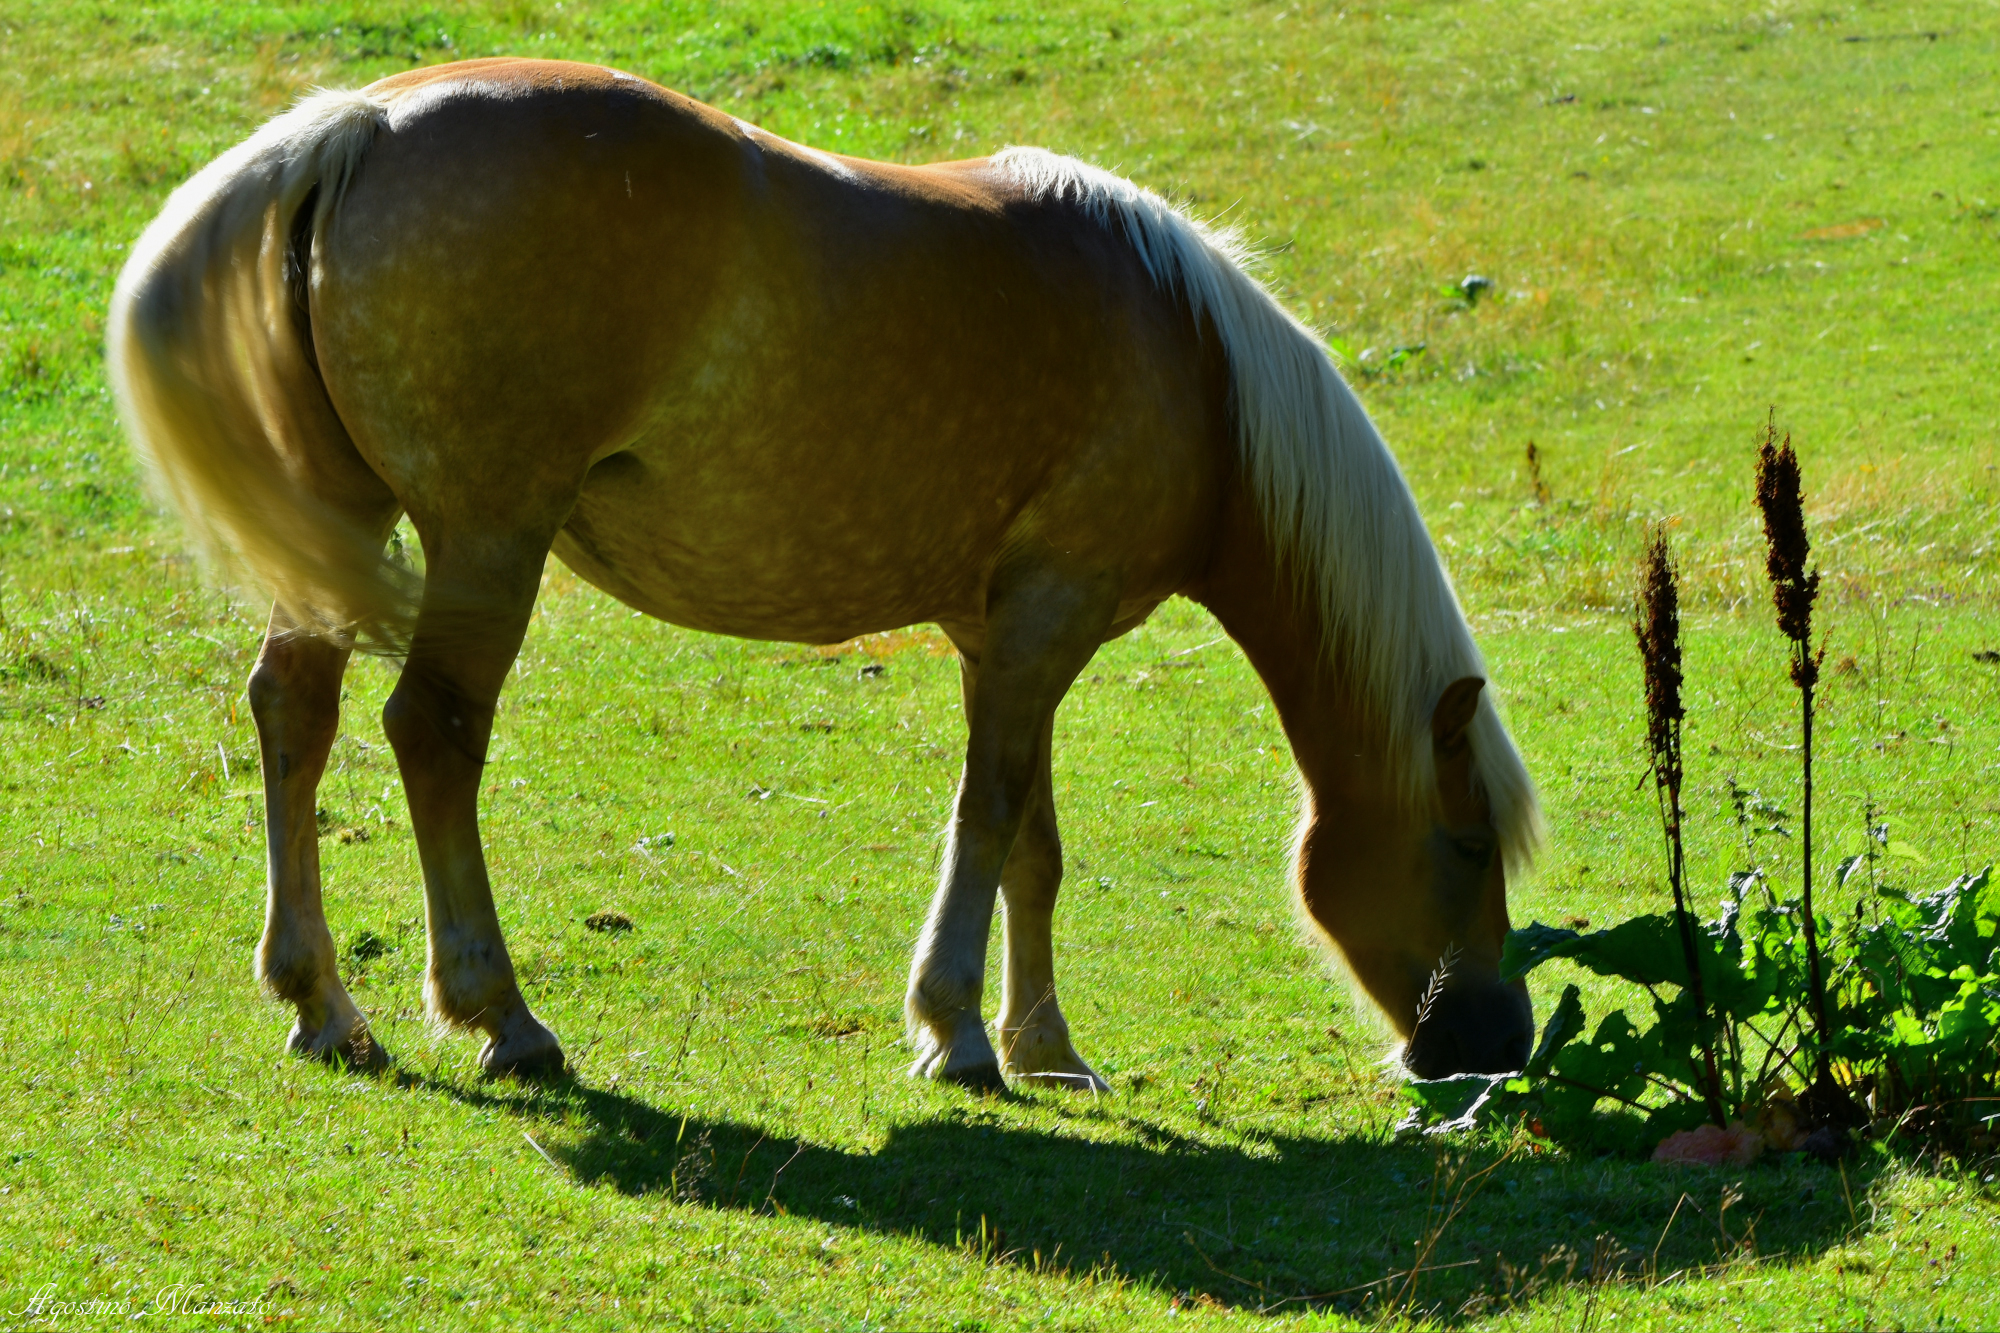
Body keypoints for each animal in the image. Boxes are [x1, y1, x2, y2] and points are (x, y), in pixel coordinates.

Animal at [109, 58, 1541, 1089]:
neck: (1193, 364)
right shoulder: (1049, 618)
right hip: (485, 538)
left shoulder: (1008, 635)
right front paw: (958, 1035)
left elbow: (1033, 841)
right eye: (1466, 843)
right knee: (434, 730)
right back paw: (502, 1016)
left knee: (295, 714)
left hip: (345, 532)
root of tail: (361, 125)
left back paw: (321, 1004)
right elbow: (990, 816)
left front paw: (1045, 1044)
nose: (1494, 1048)